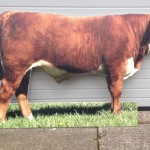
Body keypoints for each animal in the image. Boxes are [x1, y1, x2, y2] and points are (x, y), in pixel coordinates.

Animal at [0, 11, 150, 122]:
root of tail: (10, 13)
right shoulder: (116, 65)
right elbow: (117, 91)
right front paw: (117, 114)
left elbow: (112, 91)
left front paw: (113, 110)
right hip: (15, 67)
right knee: (6, 91)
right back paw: (3, 121)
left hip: (24, 69)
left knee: (21, 92)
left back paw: (30, 118)